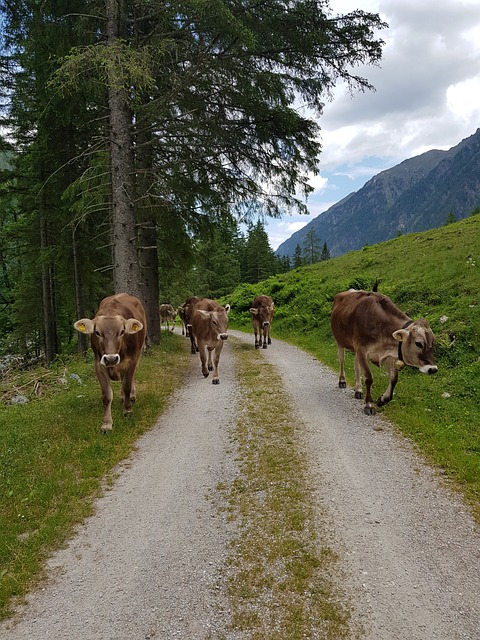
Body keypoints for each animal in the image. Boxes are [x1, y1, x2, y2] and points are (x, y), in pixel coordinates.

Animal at [74, 292, 146, 432]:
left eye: (122, 332)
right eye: (97, 332)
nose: (111, 358)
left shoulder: (131, 360)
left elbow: (127, 385)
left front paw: (127, 410)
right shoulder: (99, 364)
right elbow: (106, 395)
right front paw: (107, 424)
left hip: (139, 352)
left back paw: (131, 397)